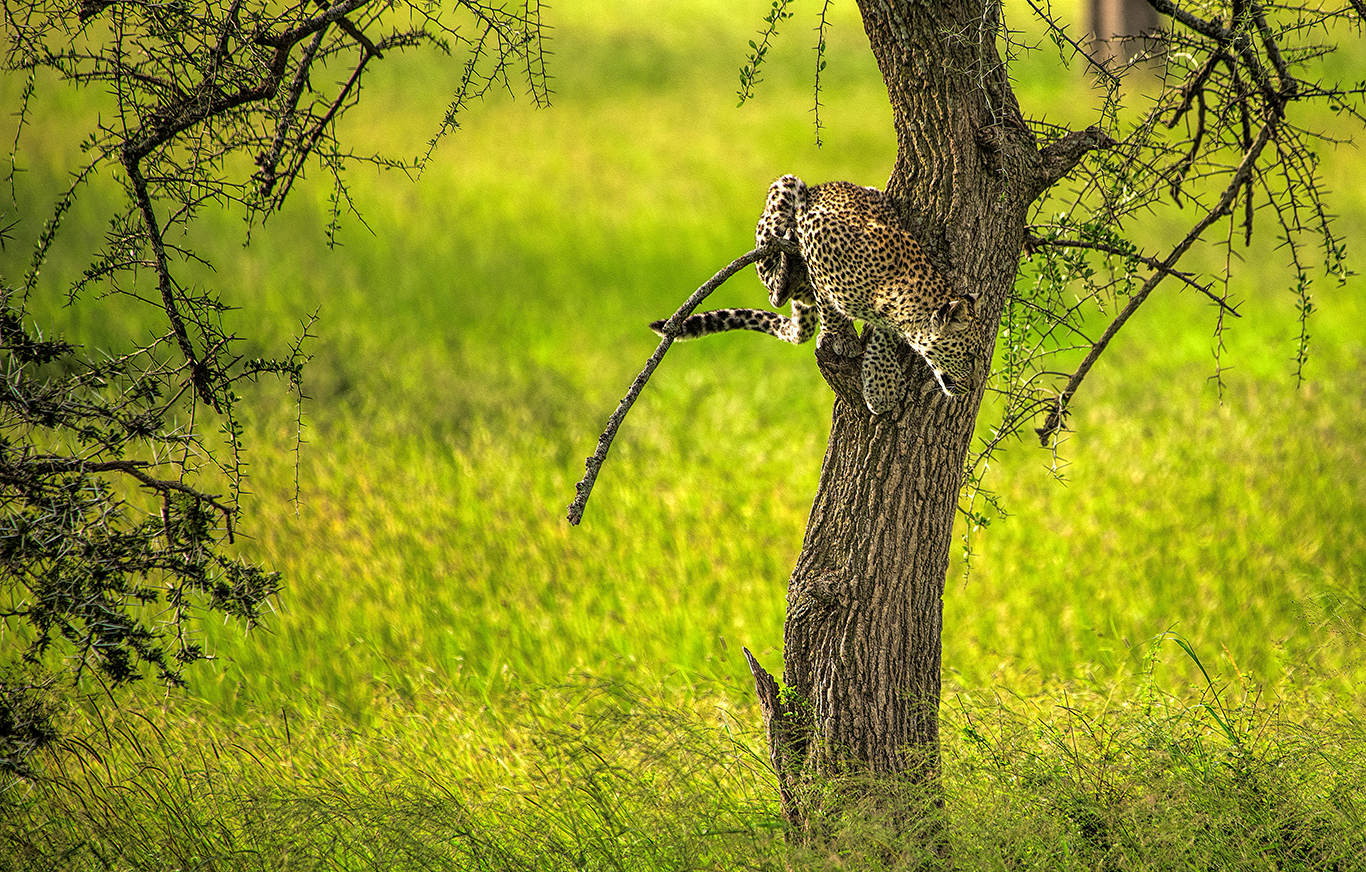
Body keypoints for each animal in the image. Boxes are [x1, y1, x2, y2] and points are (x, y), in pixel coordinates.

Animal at [653, 175, 986, 415]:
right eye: (969, 355)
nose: (971, 388)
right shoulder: (817, 233)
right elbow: (828, 301)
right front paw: (838, 336)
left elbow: (884, 335)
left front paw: (882, 384)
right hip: (786, 187)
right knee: (774, 285)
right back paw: (785, 264)